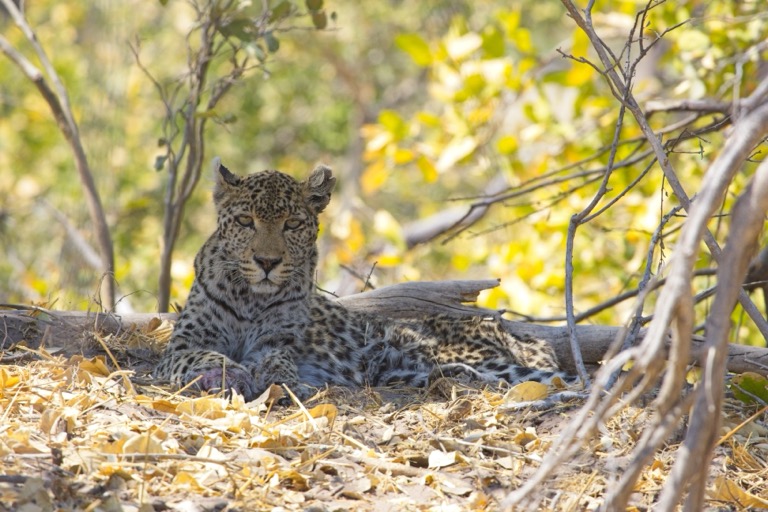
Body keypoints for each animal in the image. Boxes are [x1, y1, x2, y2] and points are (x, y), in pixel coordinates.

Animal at [154, 158, 575, 402]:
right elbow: (203, 355)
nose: (267, 261)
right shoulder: (183, 343)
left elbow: (278, 363)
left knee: (546, 375)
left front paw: (285, 382)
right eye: (245, 221)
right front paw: (229, 374)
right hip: (404, 366)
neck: (251, 298)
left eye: (292, 224)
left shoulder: (275, 344)